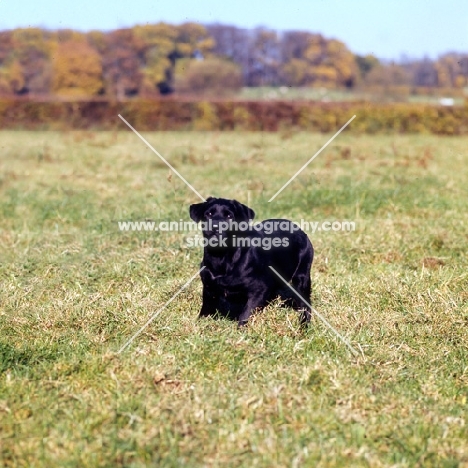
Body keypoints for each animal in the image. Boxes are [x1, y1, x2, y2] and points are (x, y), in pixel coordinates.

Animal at [187, 197, 314, 326]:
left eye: (229, 216)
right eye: (208, 214)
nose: (215, 227)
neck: (221, 258)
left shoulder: (259, 289)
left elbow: (245, 314)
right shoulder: (209, 288)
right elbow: (205, 310)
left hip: (302, 277)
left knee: (305, 305)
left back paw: (304, 325)